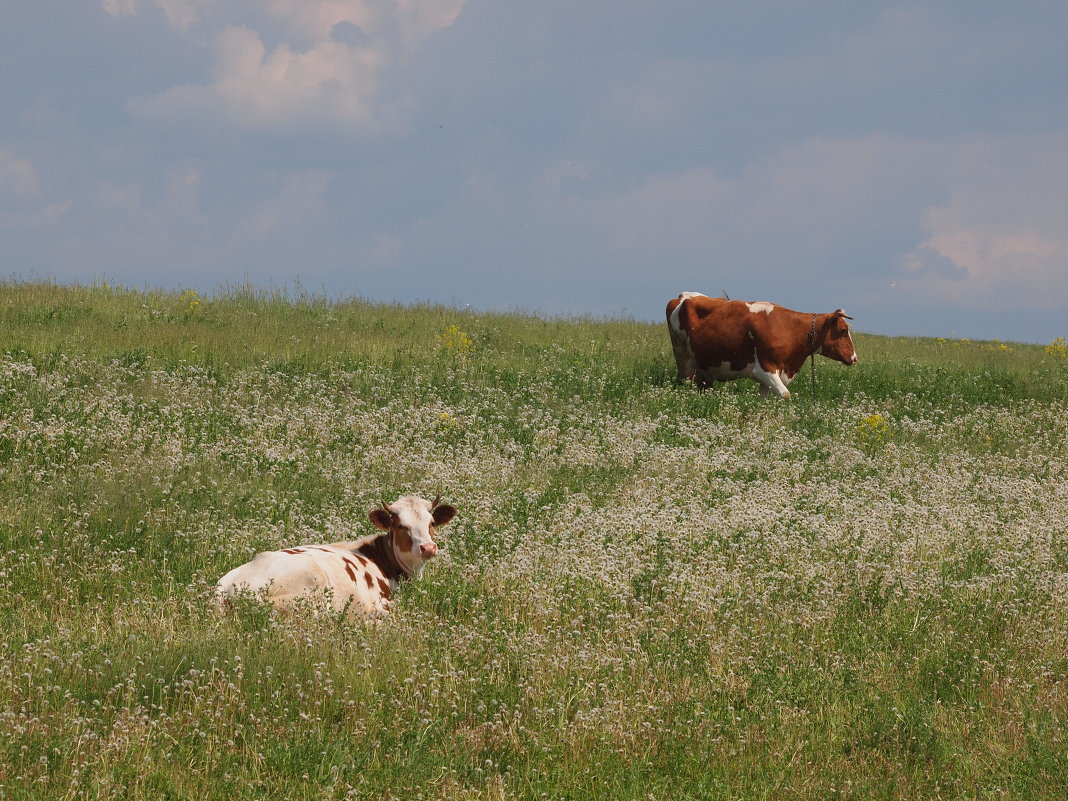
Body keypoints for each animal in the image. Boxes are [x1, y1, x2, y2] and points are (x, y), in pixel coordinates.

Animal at [666, 292, 858, 399]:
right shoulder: (765, 368)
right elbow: (785, 394)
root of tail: (683, 296)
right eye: (843, 330)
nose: (855, 358)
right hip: (681, 354)